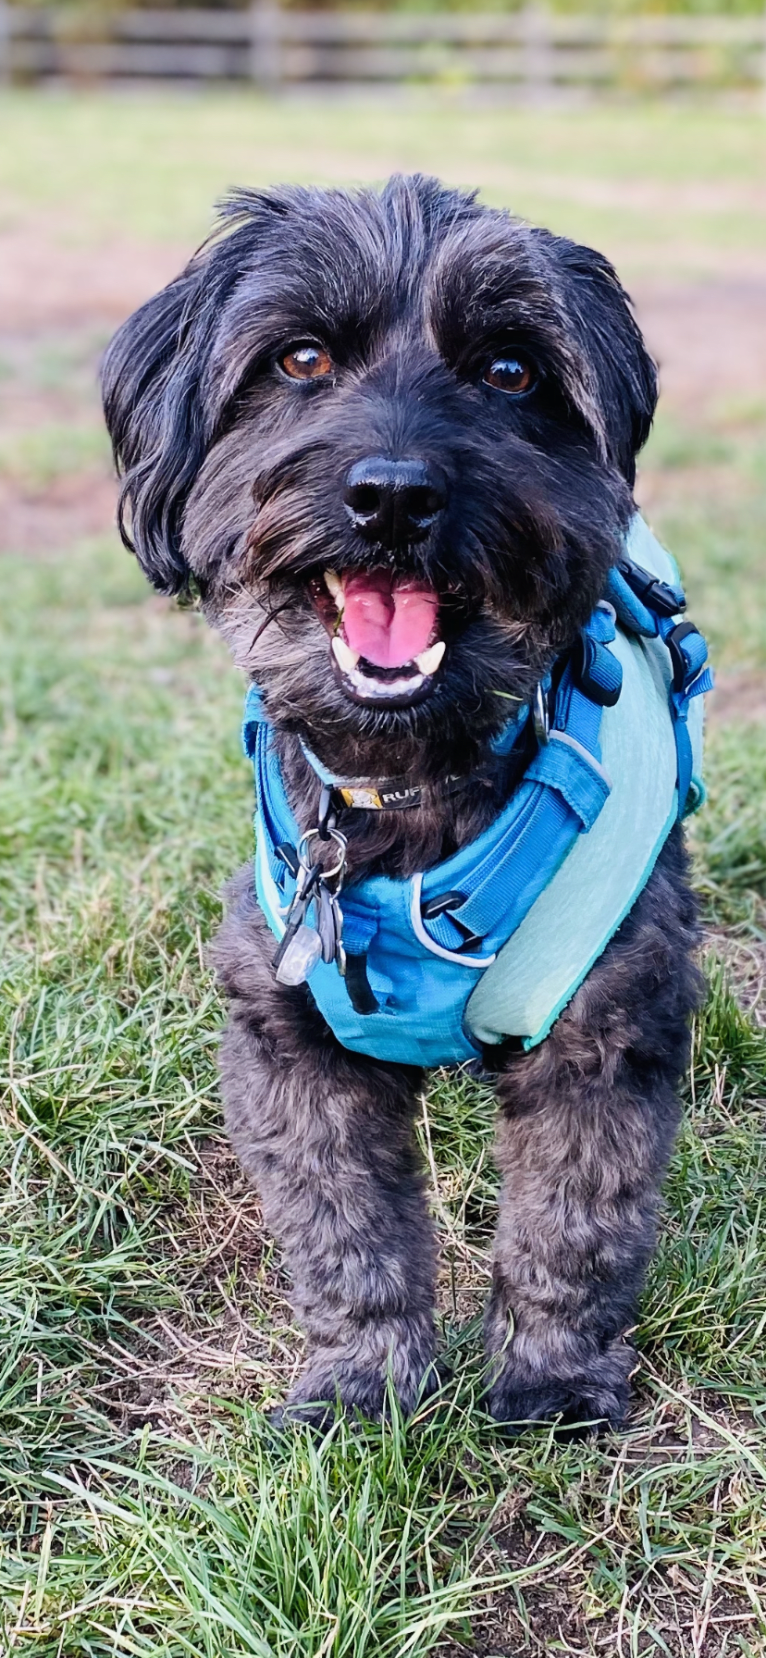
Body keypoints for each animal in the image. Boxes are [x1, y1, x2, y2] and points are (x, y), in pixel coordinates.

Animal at [101, 174, 706, 1432]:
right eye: (299, 359)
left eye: (511, 370)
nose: (391, 495)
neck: (411, 782)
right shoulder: (289, 1045)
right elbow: (345, 1234)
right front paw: (359, 1381)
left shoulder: (603, 1029)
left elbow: (573, 1220)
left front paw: (551, 1378)